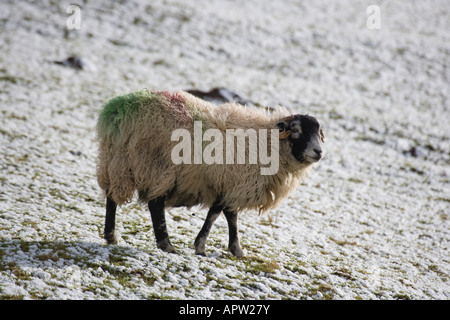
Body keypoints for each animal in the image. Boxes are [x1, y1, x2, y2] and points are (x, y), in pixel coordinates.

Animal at [97, 90, 324, 258]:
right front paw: (203, 246)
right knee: (155, 204)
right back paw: (166, 244)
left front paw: (234, 249)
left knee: (111, 196)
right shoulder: (233, 182)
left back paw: (111, 236)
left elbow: (229, 216)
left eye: (318, 132)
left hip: (116, 161)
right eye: (296, 130)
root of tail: (120, 112)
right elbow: (216, 214)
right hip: (156, 165)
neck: (269, 143)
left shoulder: (231, 184)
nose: (319, 152)